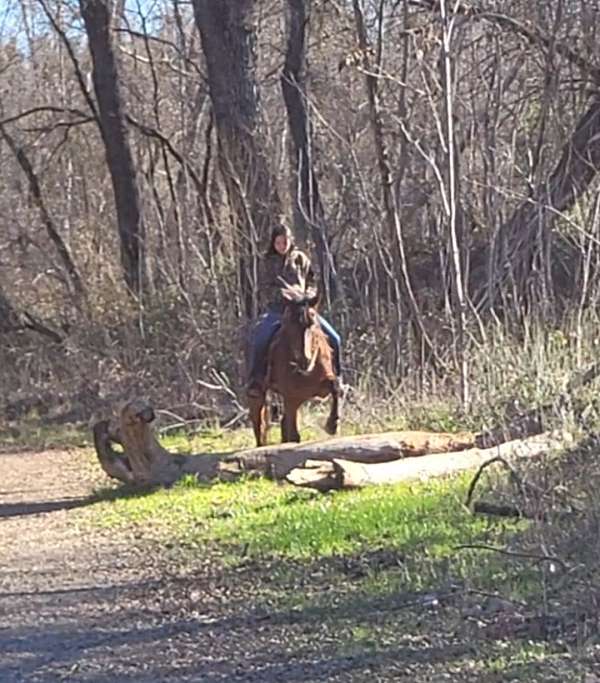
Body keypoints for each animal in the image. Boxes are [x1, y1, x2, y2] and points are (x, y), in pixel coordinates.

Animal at [248, 280, 342, 446]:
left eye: (313, 321)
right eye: (290, 324)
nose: (304, 360)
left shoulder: (321, 386)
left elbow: (335, 386)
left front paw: (332, 425)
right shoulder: (291, 396)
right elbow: (291, 433)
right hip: (261, 397)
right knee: (260, 425)